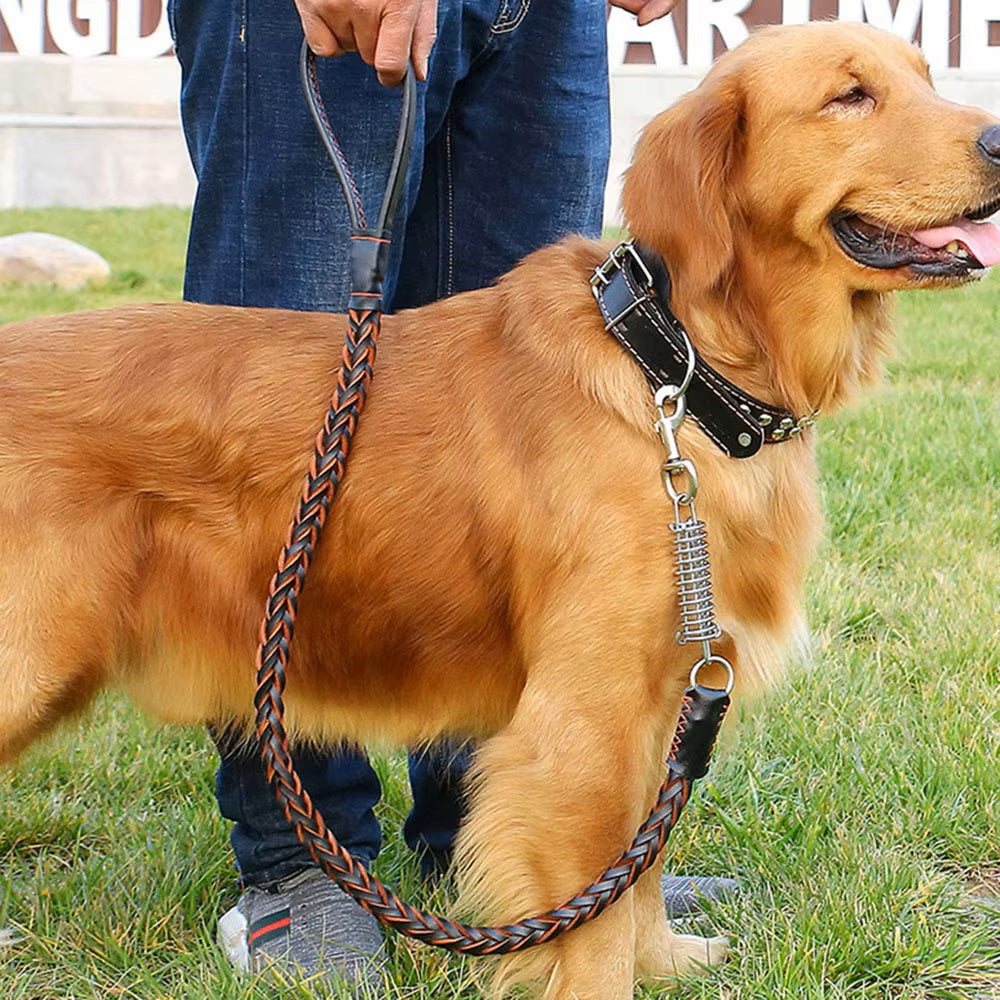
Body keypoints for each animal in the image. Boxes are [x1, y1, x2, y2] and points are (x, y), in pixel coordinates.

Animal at [1, 17, 1000, 1000]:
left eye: (926, 78)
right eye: (850, 95)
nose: (999, 140)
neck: (675, 369)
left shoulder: (662, 699)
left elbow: (640, 869)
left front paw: (665, 958)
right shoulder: (582, 728)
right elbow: (594, 923)